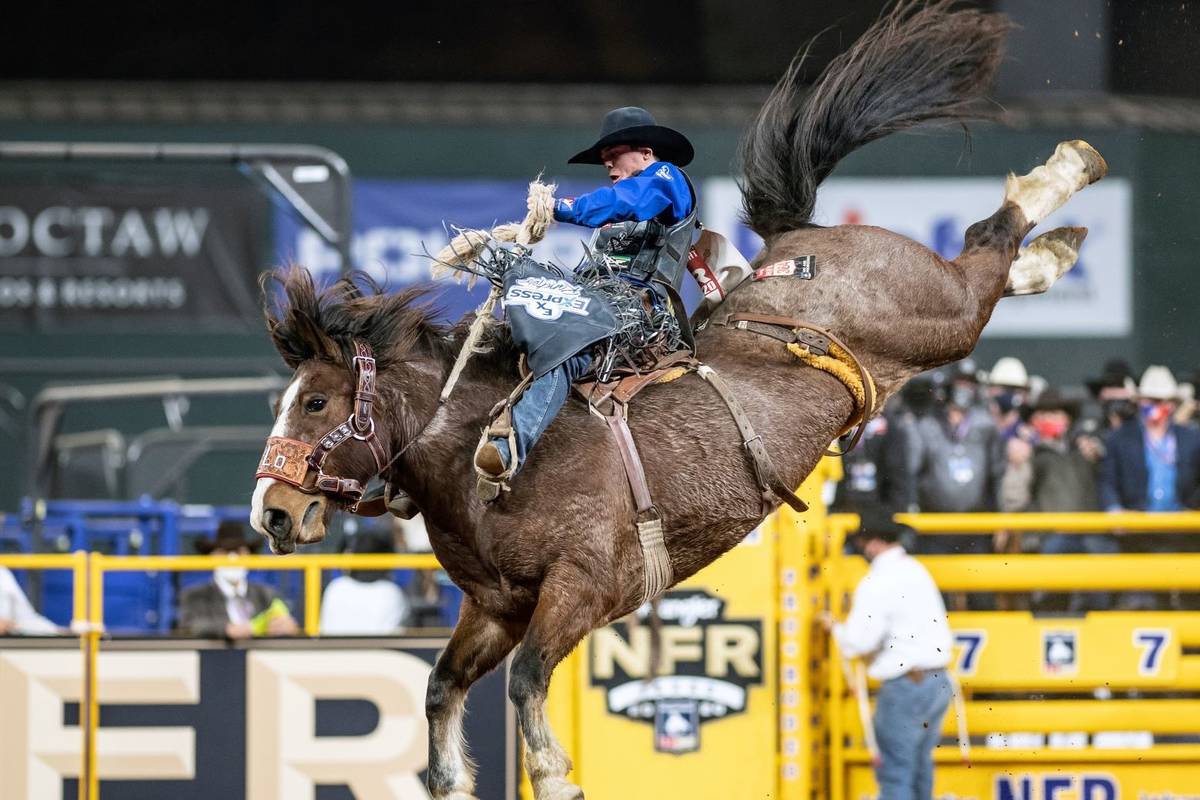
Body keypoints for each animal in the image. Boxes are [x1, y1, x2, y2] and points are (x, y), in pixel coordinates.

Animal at [250, 3, 1104, 796]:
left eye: (317, 404)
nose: (272, 513)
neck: (477, 457)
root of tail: (801, 239)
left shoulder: (581, 588)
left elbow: (527, 682)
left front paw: (555, 775)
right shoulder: (494, 607)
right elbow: (440, 688)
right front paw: (453, 773)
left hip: (935, 315)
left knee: (986, 249)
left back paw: (1069, 170)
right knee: (995, 257)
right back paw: (1057, 250)